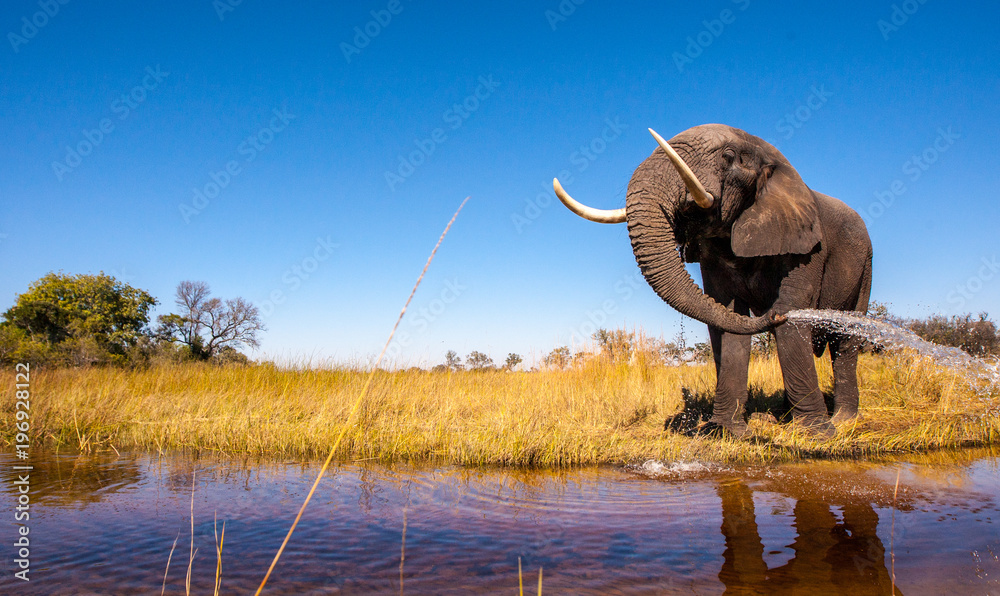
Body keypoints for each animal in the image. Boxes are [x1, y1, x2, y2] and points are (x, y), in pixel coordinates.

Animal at [555, 124, 872, 438]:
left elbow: (792, 319)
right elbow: (729, 320)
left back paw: (843, 421)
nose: (774, 314)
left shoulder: (805, 246)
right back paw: (783, 418)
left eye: (728, 156)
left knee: (846, 341)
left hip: (865, 266)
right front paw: (727, 431)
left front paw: (818, 435)